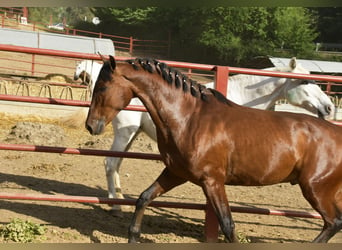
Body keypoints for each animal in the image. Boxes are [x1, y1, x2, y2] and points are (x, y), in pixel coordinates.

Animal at [84, 56, 340, 242]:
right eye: (305, 82)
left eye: (103, 87)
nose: (91, 125)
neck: (190, 117)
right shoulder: (175, 173)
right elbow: (144, 198)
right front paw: (133, 236)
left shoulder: (212, 181)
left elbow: (227, 226)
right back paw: (115, 203)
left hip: (316, 189)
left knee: (333, 222)